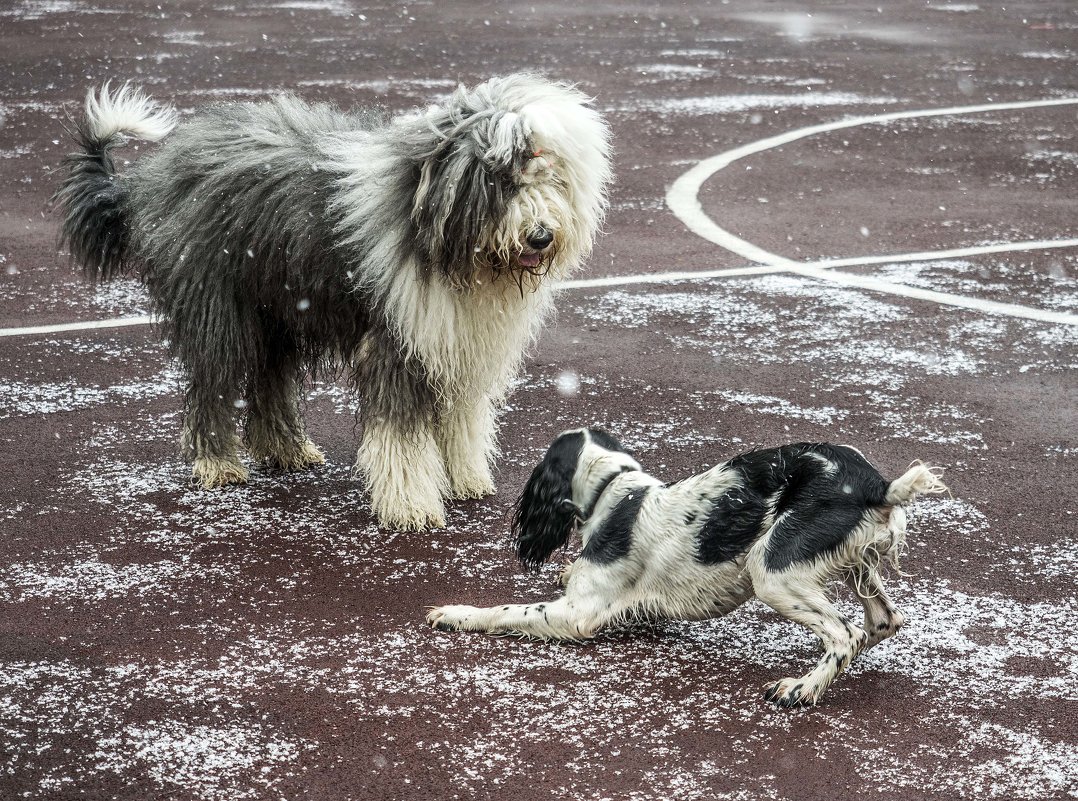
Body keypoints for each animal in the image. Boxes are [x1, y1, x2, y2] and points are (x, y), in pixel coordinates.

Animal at [54, 76, 612, 532]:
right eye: (501, 179)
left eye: (551, 175)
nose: (541, 236)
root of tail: (150, 179)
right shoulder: (395, 343)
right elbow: (401, 434)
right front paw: (411, 507)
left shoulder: (454, 344)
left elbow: (461, 419)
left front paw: (466, 479)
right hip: (220, 308)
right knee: (215, 383)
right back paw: (219, 465)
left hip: (278, 310)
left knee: (269, 383)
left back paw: (288, 451)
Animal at [424, 429, 948, 702]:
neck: (617, 491)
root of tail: (877, 484)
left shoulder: (575, 614)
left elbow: (505, 611)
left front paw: (453, 613)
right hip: (852, 564)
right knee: (880, 622)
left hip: (771, 571)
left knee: (844, 633)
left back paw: (800, 688)